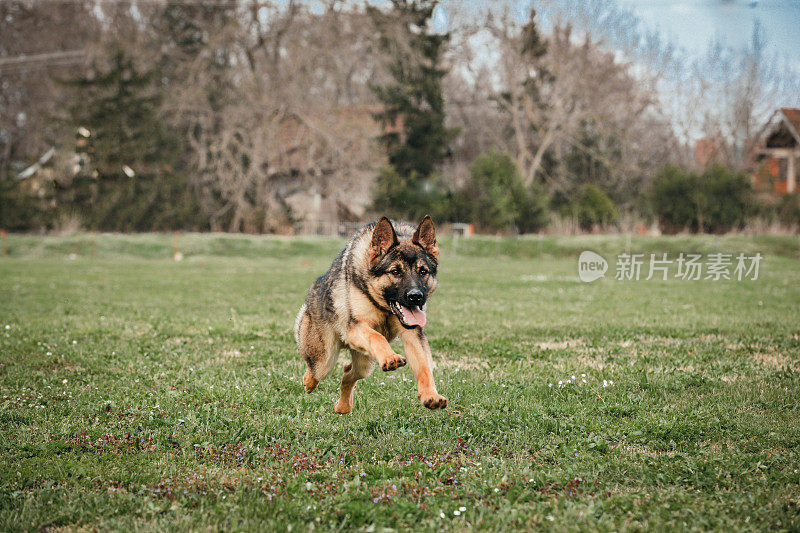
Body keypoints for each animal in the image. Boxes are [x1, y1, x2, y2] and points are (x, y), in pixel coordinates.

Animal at [296, 215, 446, 412]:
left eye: (423, 271)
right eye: (395, 271)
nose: (416, 297)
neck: (385, 308)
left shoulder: (413, 334)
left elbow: (424, 367)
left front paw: (431, 395)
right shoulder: (357, 328)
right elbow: (377, 337)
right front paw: (391, 357)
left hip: (364, 363)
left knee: (348, 373)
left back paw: (342, 407)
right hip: (325, 358)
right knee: (316, 369)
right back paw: (309, 382)